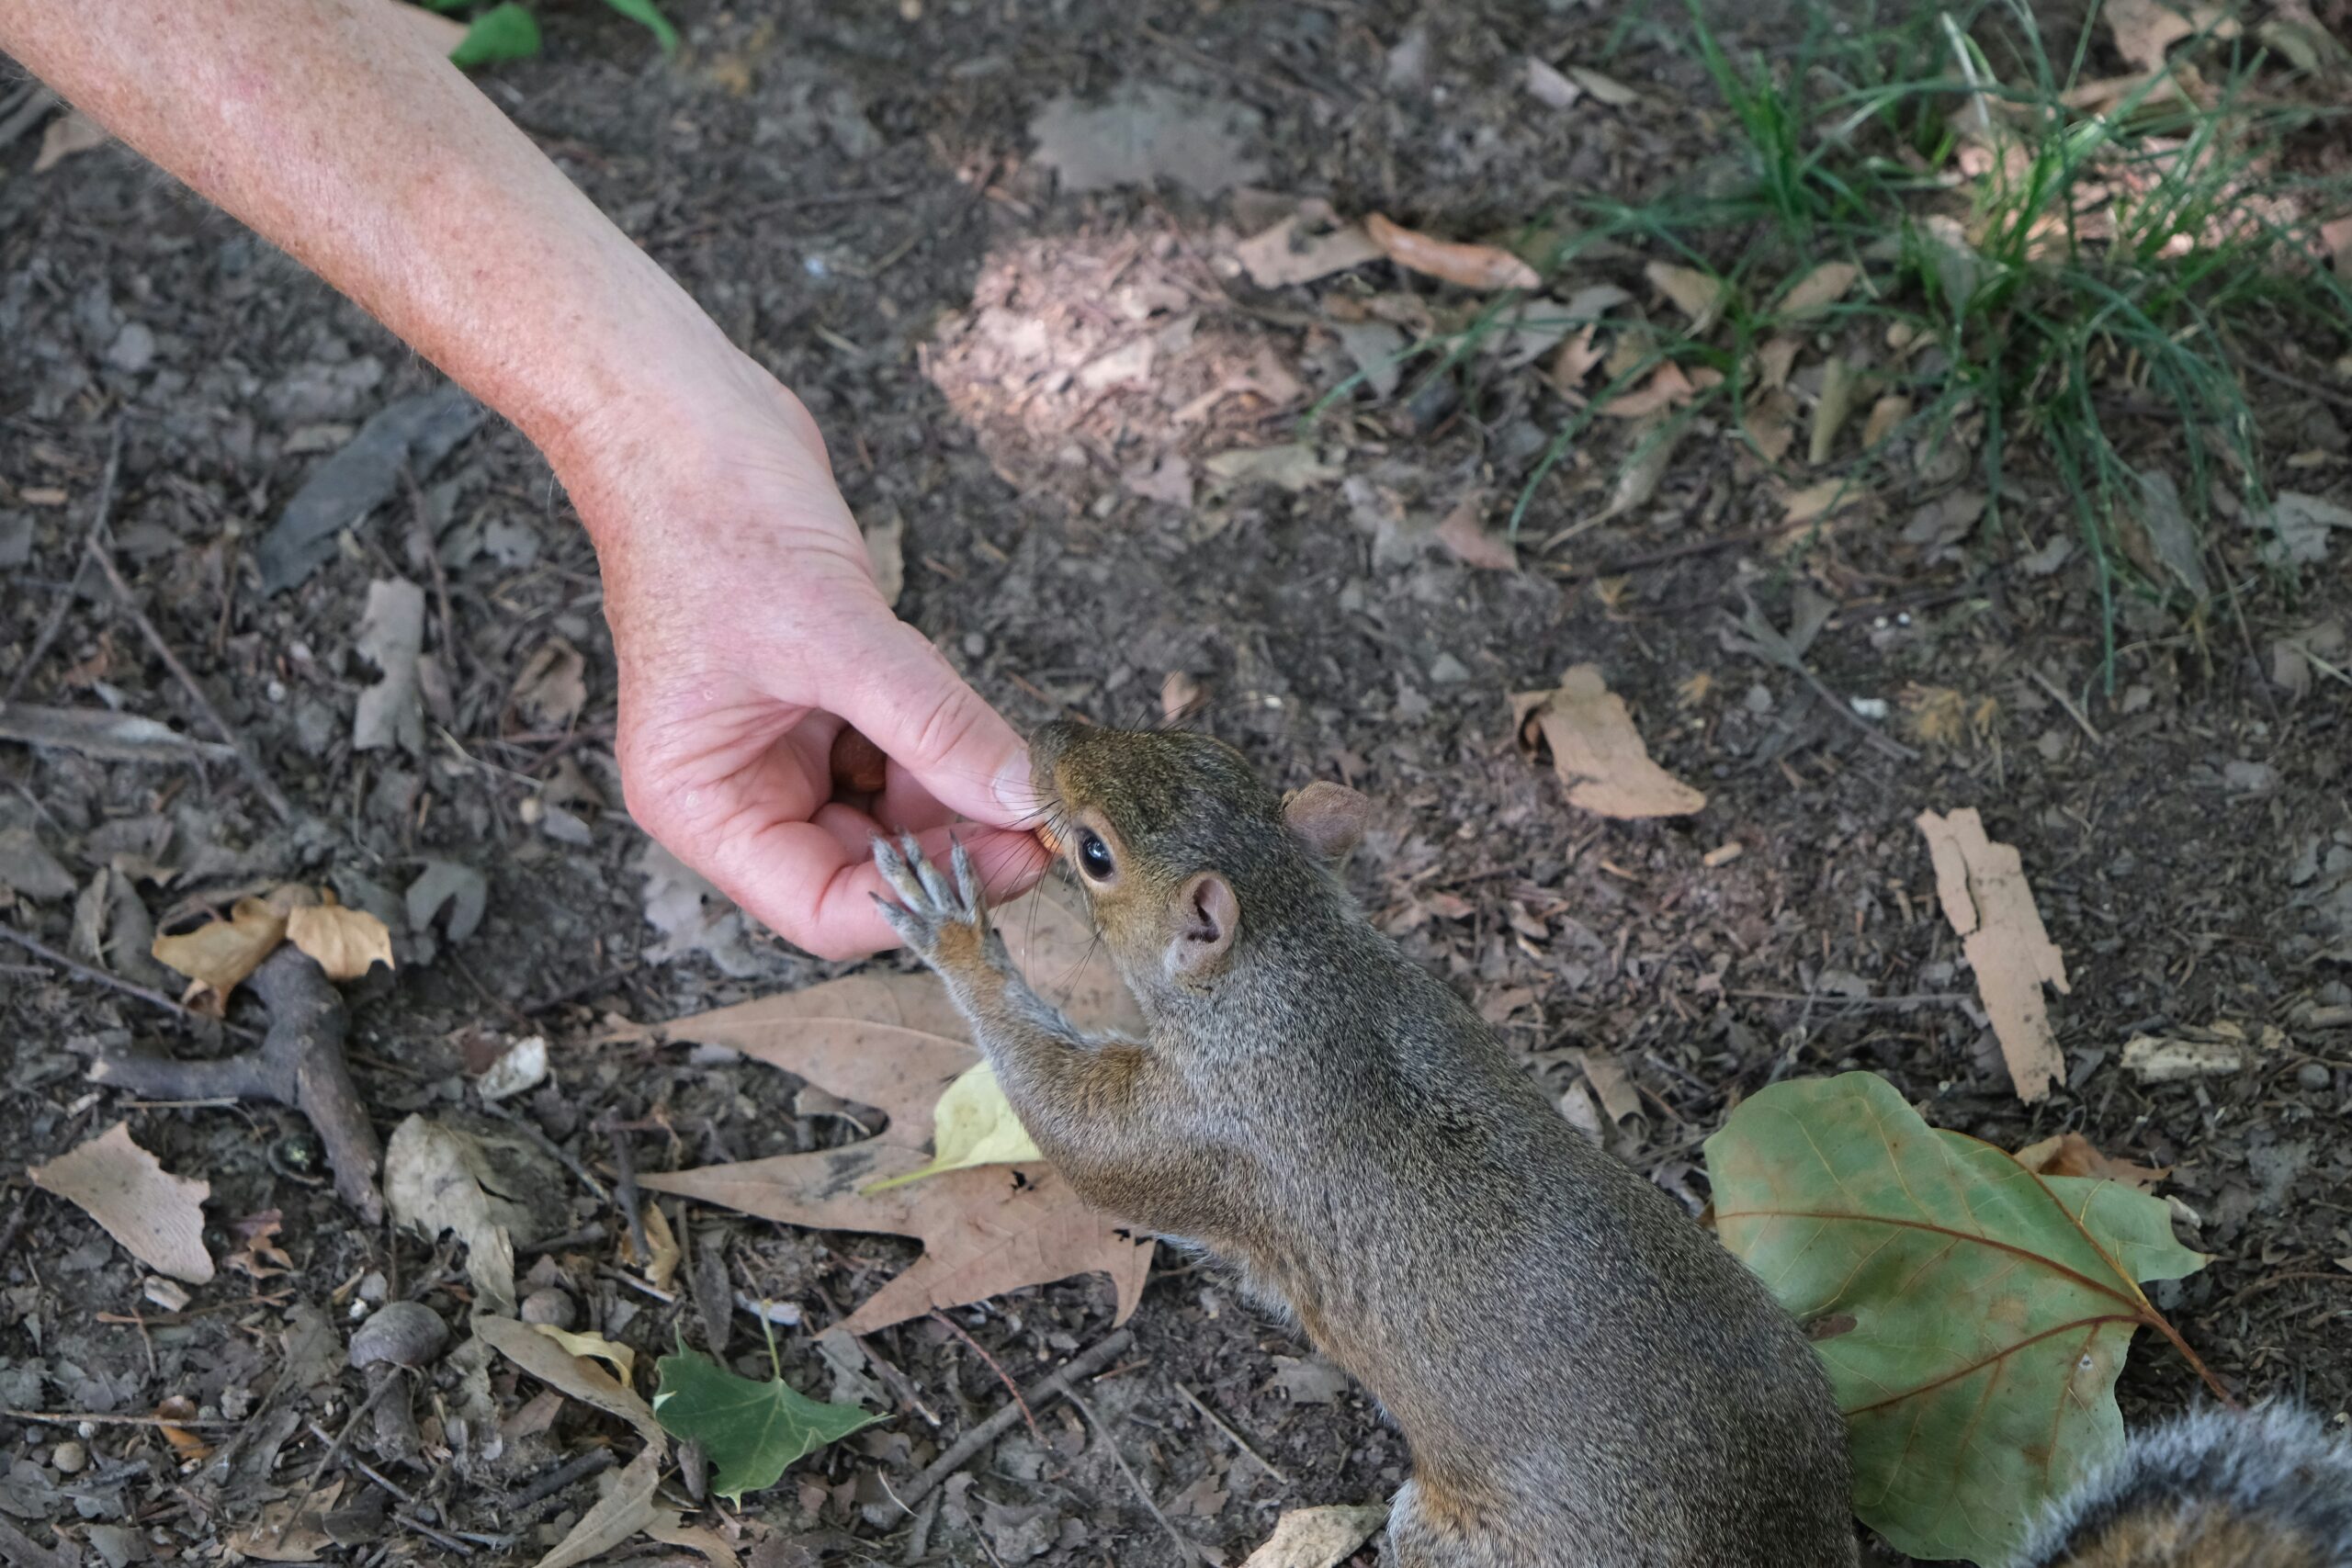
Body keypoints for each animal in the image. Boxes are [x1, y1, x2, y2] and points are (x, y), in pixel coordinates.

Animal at [872, 721, 2351, 1567]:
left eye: (1098, 854)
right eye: (1214, 755)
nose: (1046, 726)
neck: (1302, 974)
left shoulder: (1214, 1130)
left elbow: (1092, 1143)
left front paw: (955, 934)